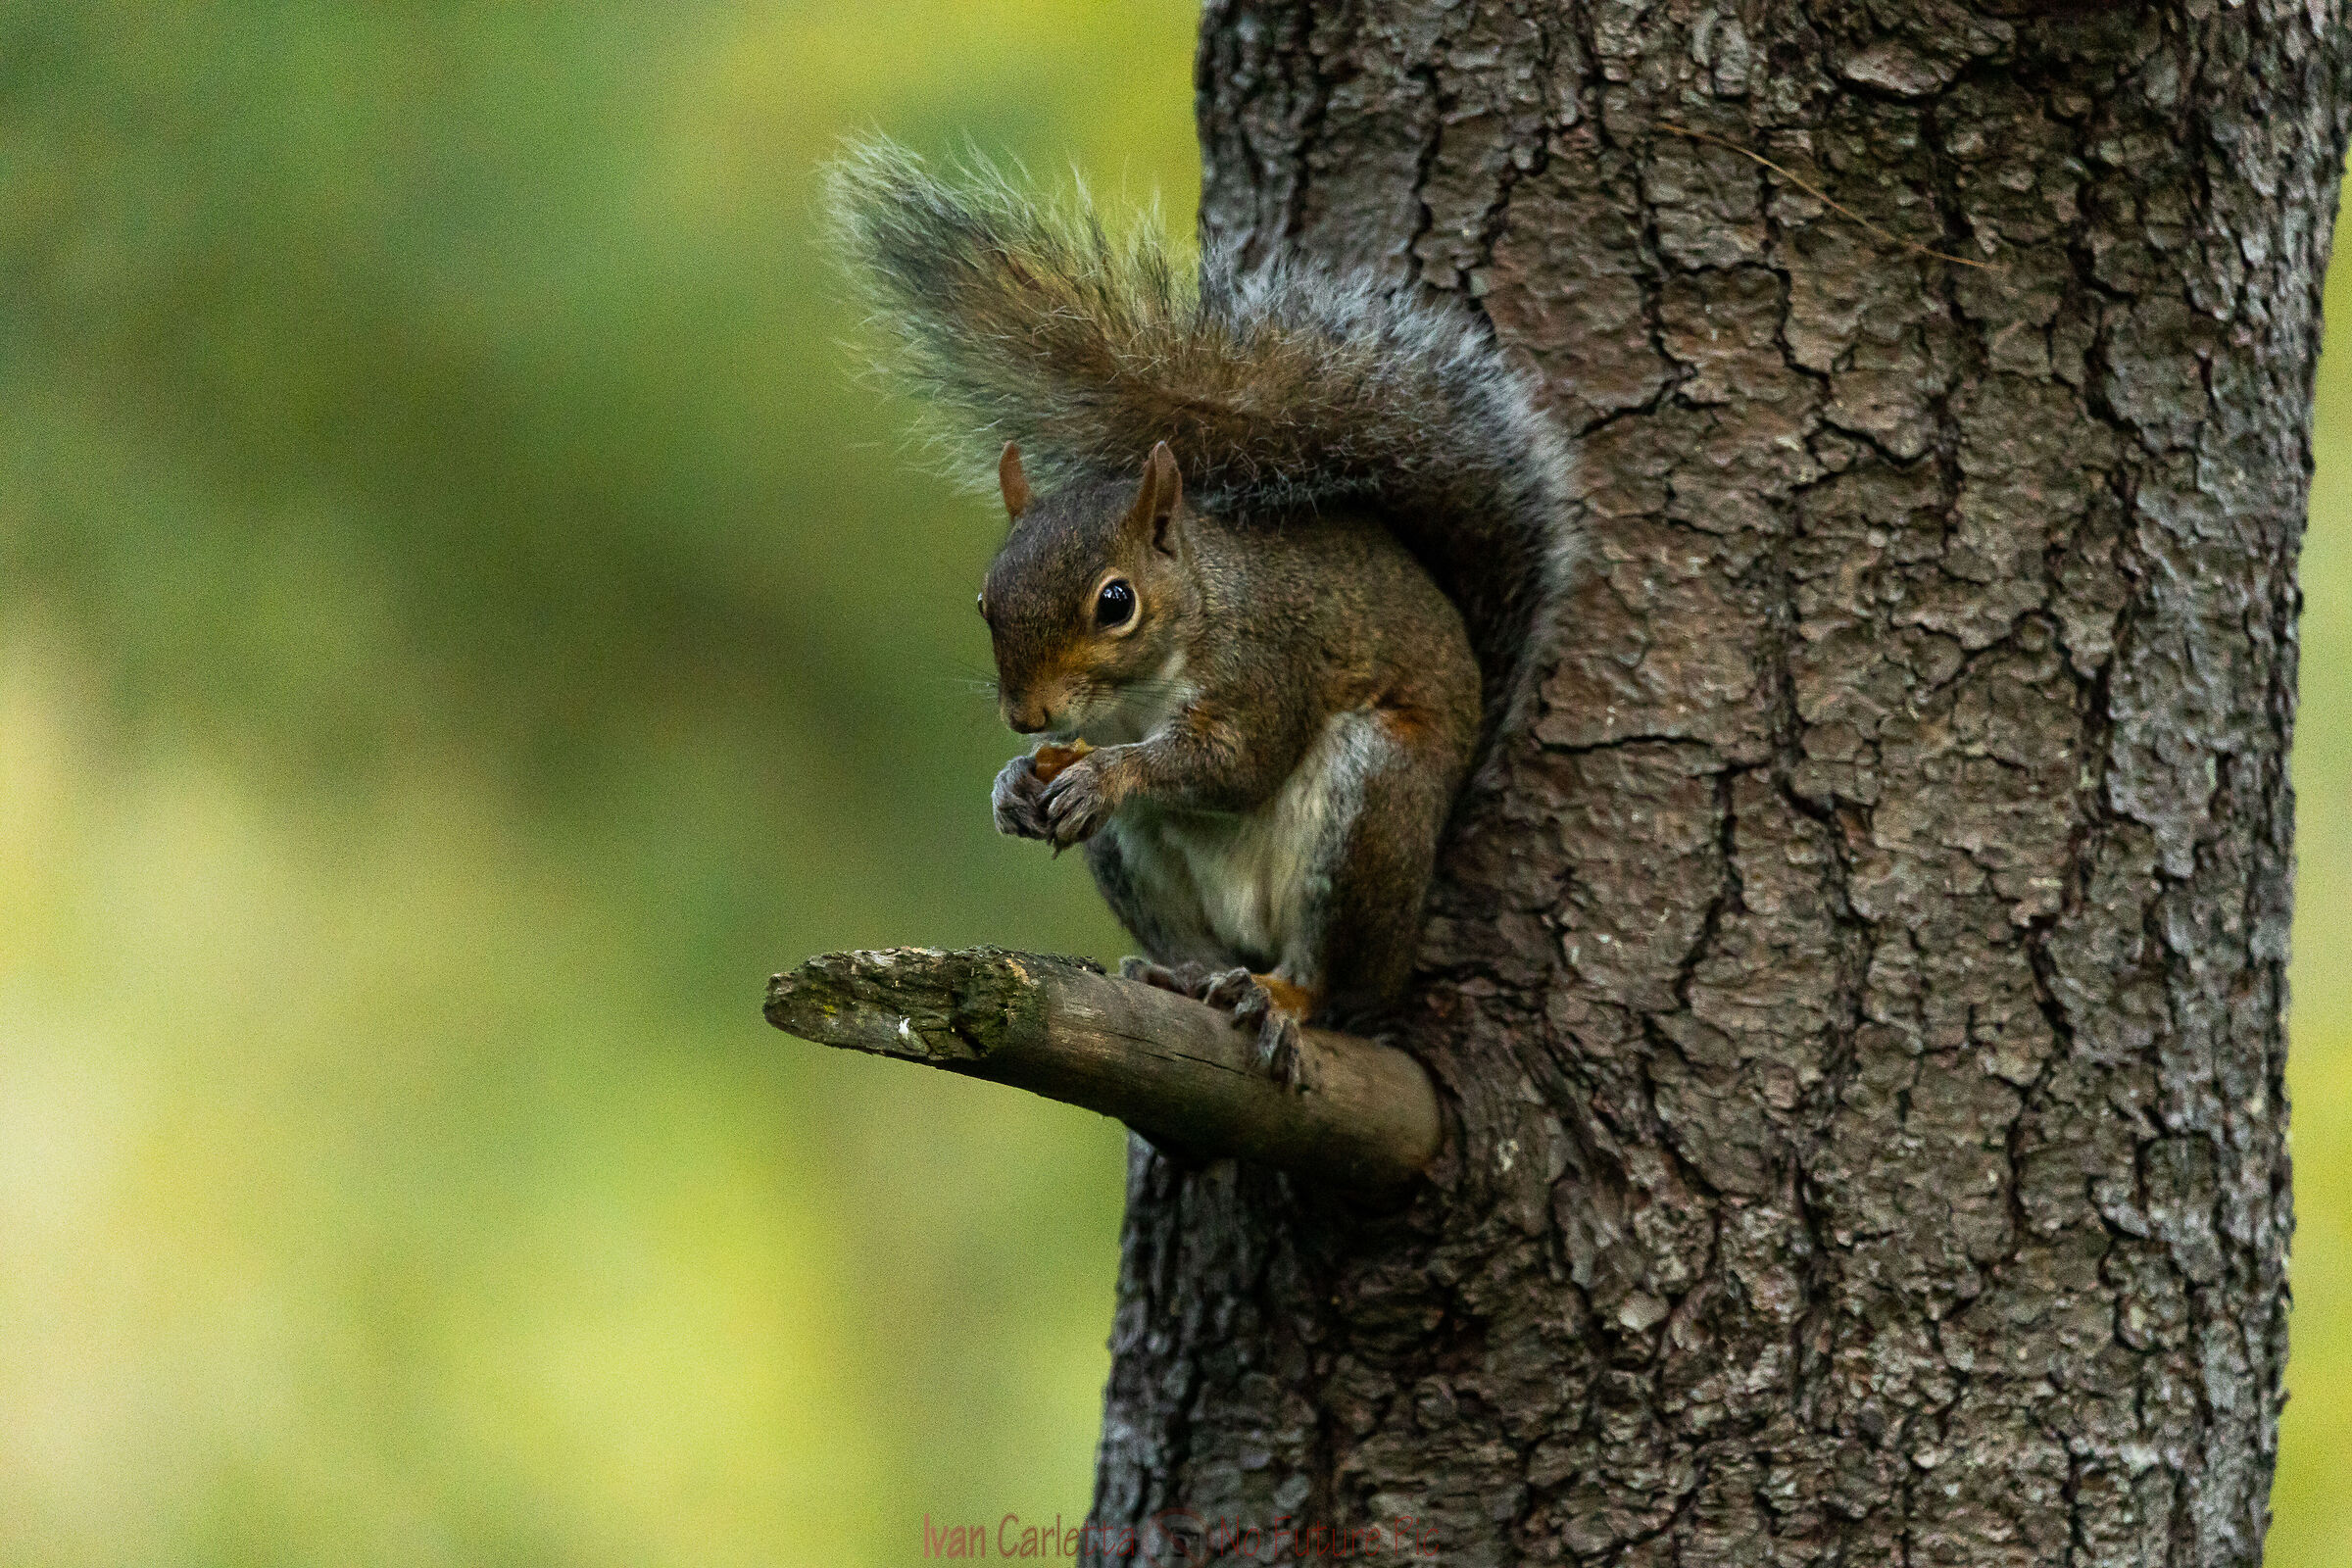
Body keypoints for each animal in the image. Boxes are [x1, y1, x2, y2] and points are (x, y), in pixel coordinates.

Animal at [828, 140, 1578, 1084]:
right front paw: (1013, 781)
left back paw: (1278, 994)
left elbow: (1239, 762)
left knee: (1333, 977)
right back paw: (1178, 977)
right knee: (1191, 944)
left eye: (1116, 603)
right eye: (984, 599)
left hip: (1372, 810)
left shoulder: (1268, 665)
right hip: (1134, 863)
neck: (1147, 684)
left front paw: (1110, 774)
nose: (1024, 716)